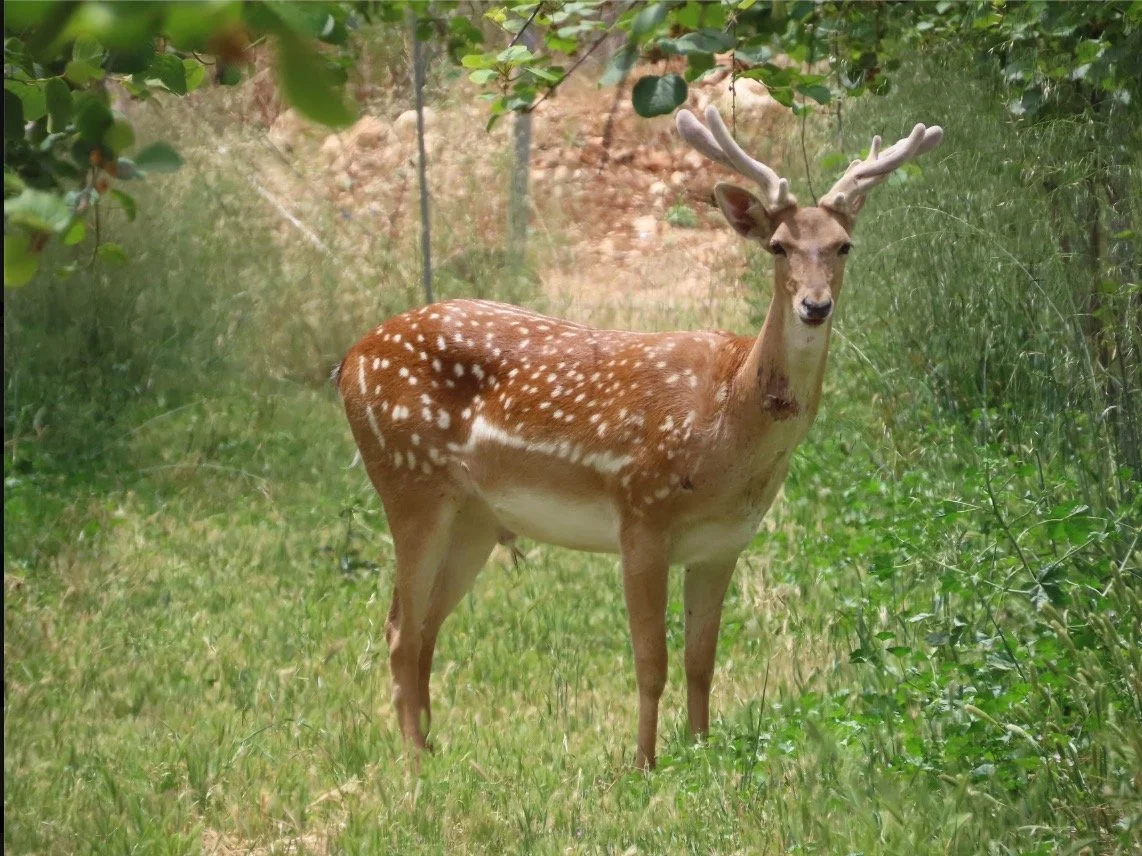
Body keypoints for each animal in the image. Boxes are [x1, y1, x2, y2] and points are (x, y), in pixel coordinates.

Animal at [336, 105, 943, 769]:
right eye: (779, 246)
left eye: (843, 245)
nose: (816, 305)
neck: (728, 424)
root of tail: (350, 359)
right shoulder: (641, 514)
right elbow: (651, 661)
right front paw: (645, 765)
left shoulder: (724, 543)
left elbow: (701, 661)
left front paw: (702, 750)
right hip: (407, 480)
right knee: (399, 627)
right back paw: (415, 763)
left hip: (473, 516)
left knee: (424, 627)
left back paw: (434, 748)